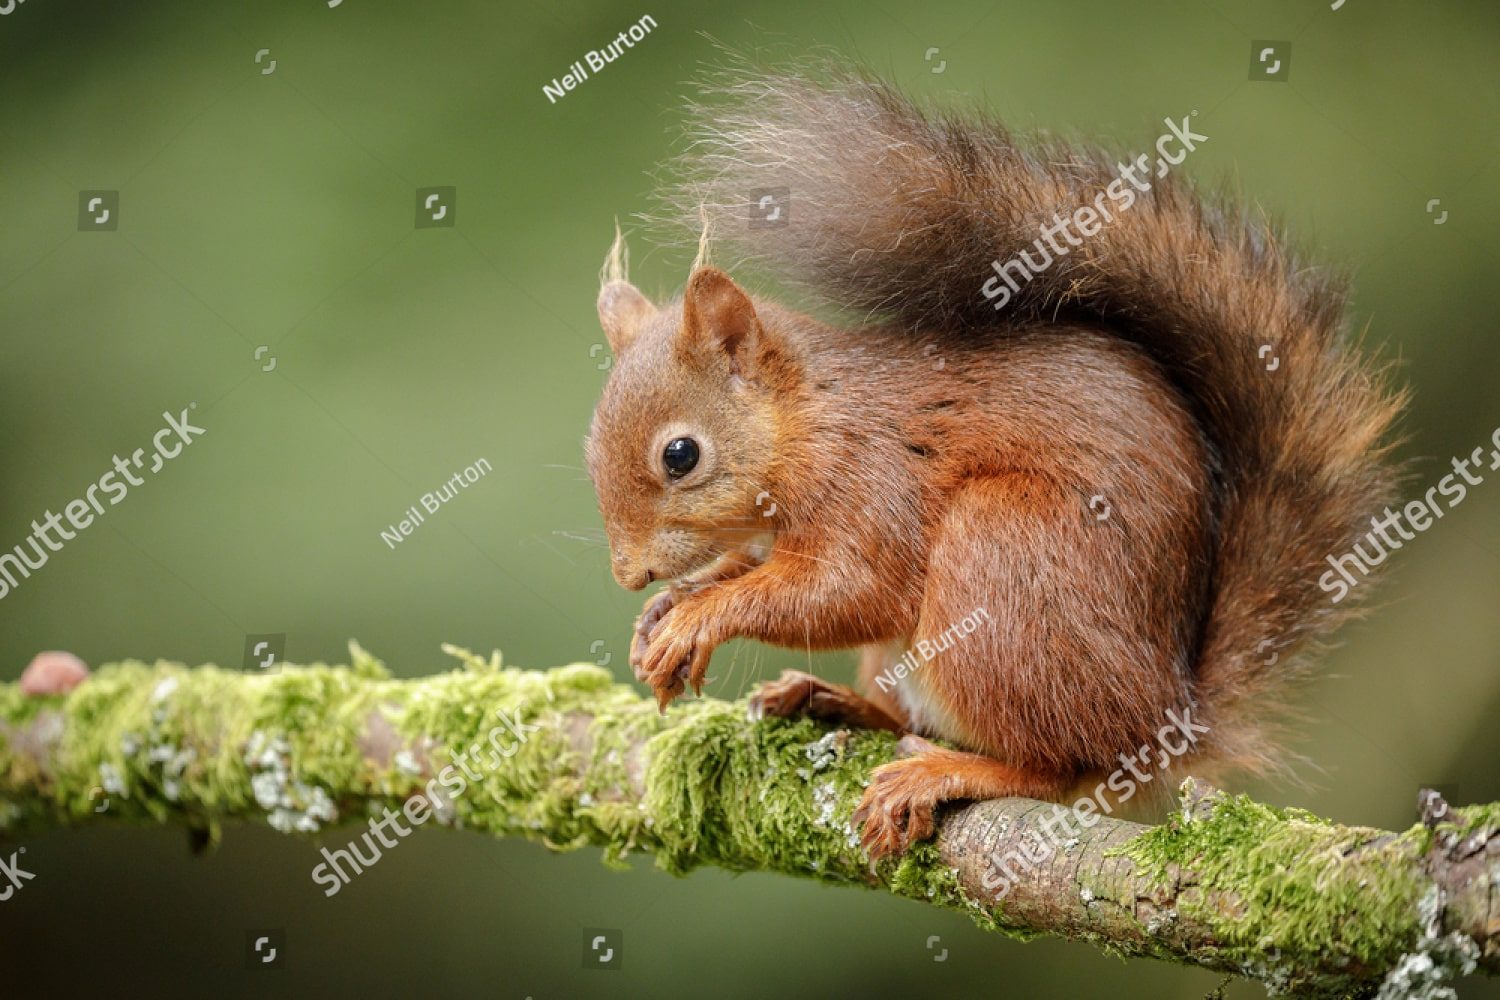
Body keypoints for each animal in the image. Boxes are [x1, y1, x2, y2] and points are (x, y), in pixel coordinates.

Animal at [584, 63, 1404, 860]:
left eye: (681, 455)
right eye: (591, 448)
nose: (626, 575)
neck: (808, 423)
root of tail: (1166, 722)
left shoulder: (872, 481)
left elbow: (850, 590)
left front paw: (700, 615)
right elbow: (753, 567)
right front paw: (667, 609)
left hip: (1002, 556)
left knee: (1056, 768)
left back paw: (946, 772)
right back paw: (836, 702)